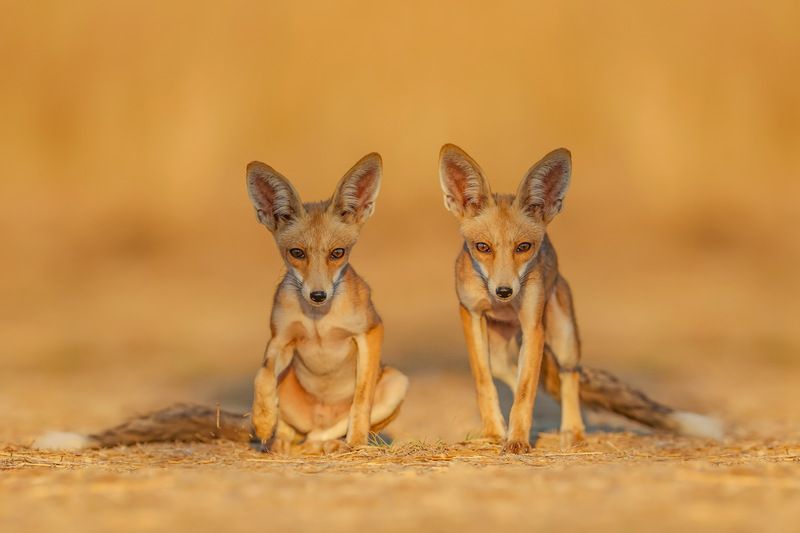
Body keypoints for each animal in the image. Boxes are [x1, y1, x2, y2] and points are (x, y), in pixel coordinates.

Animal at [33, 153, 408, 453]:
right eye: (297, 253)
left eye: (337, 253)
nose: (318, 295)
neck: (319, 321)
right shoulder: (279, 338)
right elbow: (261, 377)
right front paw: (262, 419)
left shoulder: (370, 331)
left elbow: (360, 400)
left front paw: (356, 444)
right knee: (292, 432)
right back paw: (278, 440)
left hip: (397, 381)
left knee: (330, 429)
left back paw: (331, 443)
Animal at [438, 144, 723, 454]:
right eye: (483, 247)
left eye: (524, 247)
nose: (504, 291)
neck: (504, 306)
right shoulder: (471, 313)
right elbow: (485, 381)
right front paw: (494, 433)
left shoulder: (533, 325)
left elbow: (526, 391)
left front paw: (517, 440)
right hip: (501, 352)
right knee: (517, 376)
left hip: (564, 338)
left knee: (567, 377)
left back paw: (573, 432)